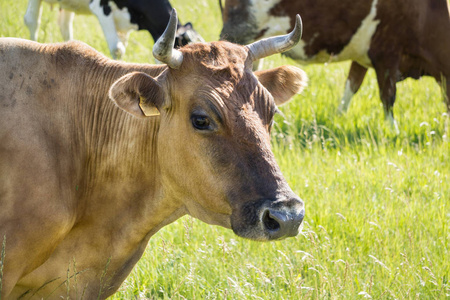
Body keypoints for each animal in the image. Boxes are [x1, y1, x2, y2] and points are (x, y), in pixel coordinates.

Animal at [220, 0, 450, 131]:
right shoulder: (386, 54)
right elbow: (388, 97)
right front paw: (394, 132)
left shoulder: (363, 59)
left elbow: (351, 86)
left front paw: (338, 118)